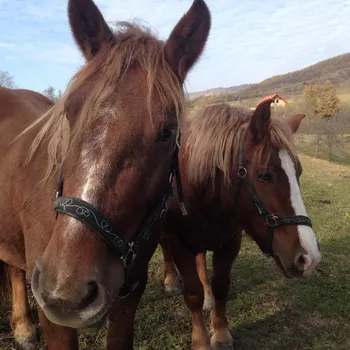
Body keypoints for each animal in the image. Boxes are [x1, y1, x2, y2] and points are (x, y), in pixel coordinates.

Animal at [160, 100, 322, 348]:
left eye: (299, 172)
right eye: (264, 175)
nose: (308, 258)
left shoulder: (229, 244)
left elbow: (221, 287)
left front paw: (221, 333)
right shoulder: (180, 245)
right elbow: (193, 294)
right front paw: (201, 341)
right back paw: (170, 279)